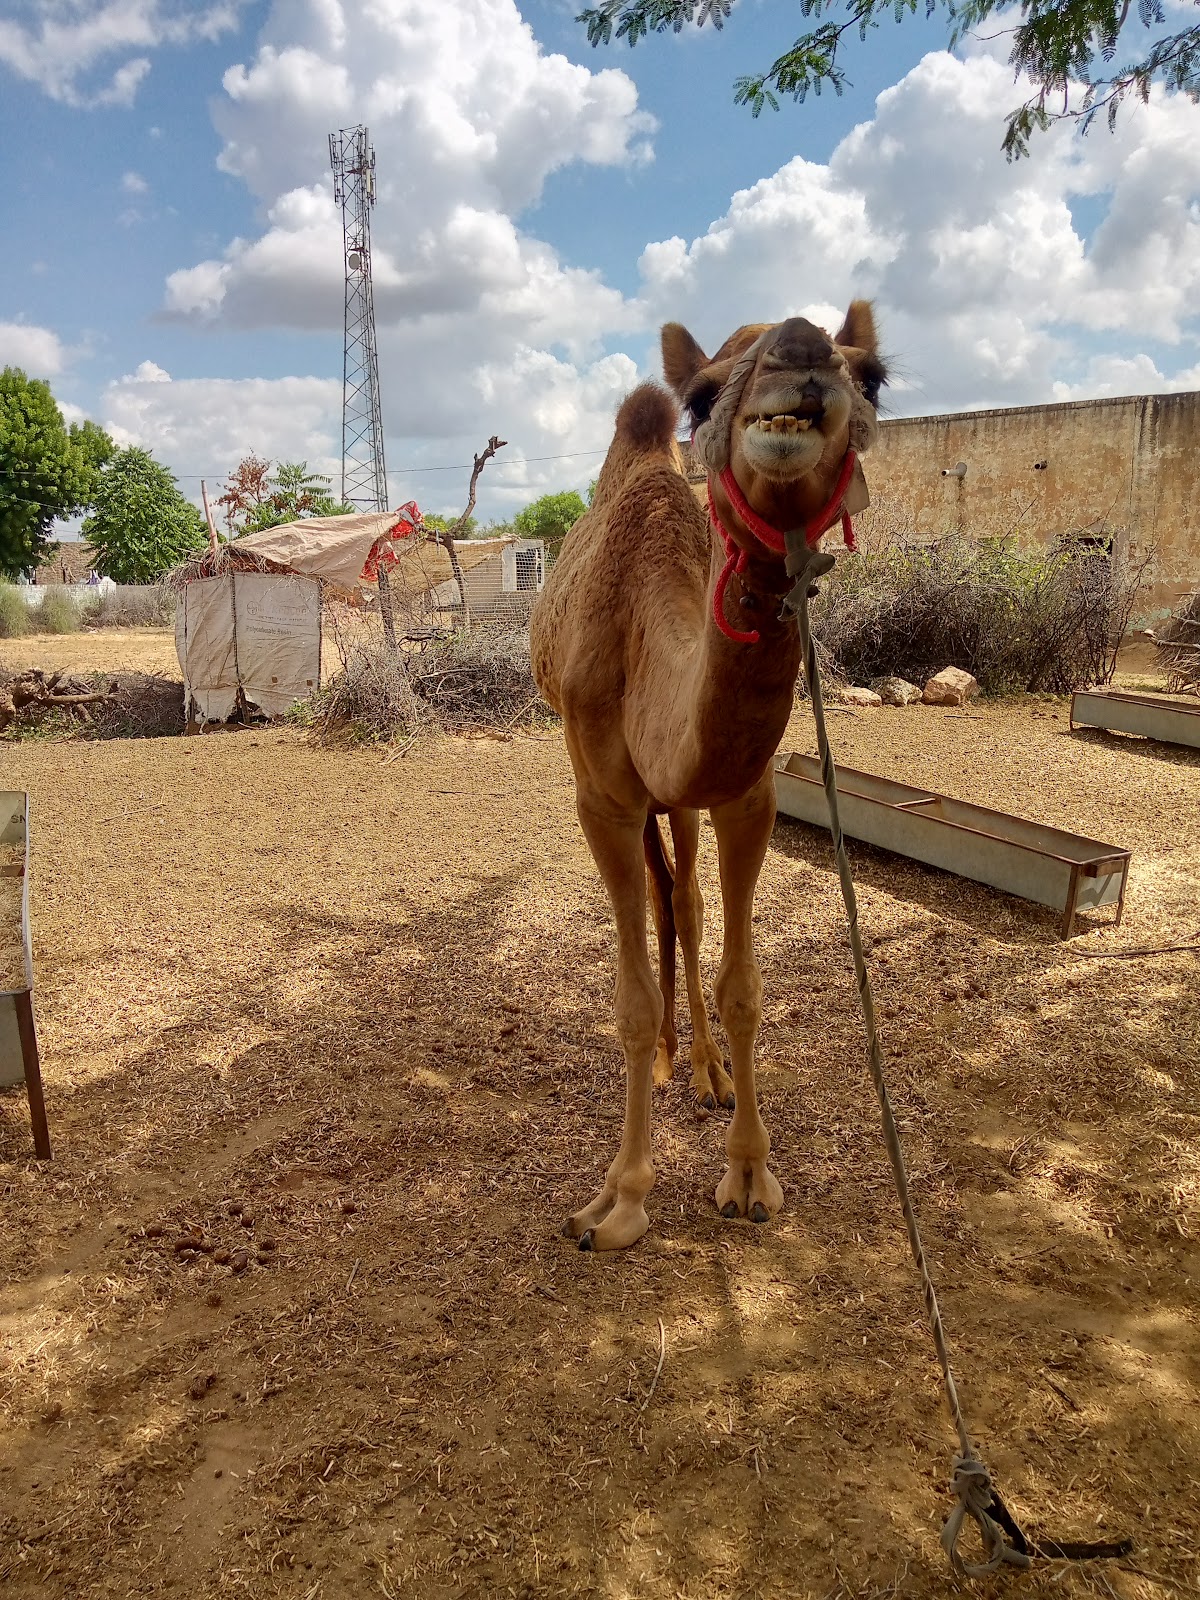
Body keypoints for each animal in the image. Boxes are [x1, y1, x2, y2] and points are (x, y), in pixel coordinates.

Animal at [530, 304, 886, 1250]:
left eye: (872, 376)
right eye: (701, 395)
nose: (801, 361)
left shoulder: (743, 793)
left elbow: (743, 987)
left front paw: (751, 1172)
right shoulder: (603, 801)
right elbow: (628, 1001)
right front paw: (618, 1200)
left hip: (681, 799)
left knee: (681, 902)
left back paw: (701, 1069)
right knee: (662, 900)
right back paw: (664, 1063)